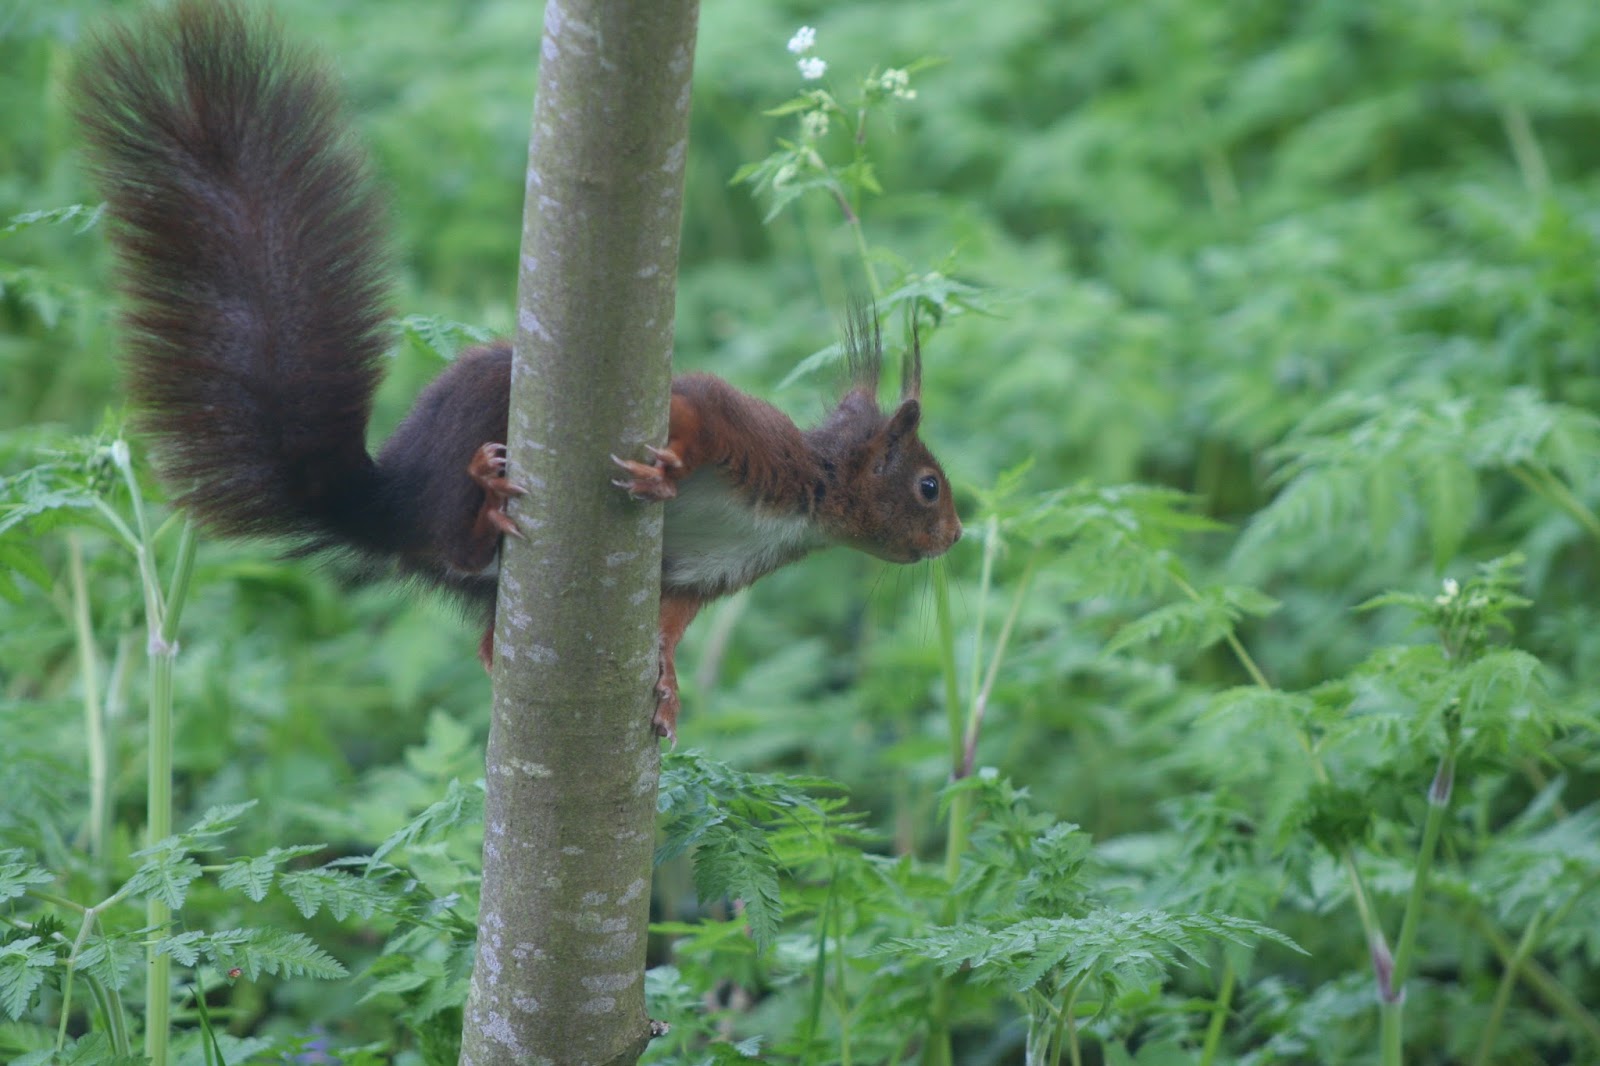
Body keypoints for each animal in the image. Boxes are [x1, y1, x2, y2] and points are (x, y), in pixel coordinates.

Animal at [70, 0, 962, 741]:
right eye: (928, 486)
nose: (955, 537)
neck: (808, 505)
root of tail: (379, 501)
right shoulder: (750, 441)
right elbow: (693, 410)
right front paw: (668, 467)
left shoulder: (702, 573)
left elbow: (671, 627)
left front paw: (668, 688)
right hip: (467, 438)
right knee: (456, 544)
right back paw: (485, 499)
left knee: (483, 625)